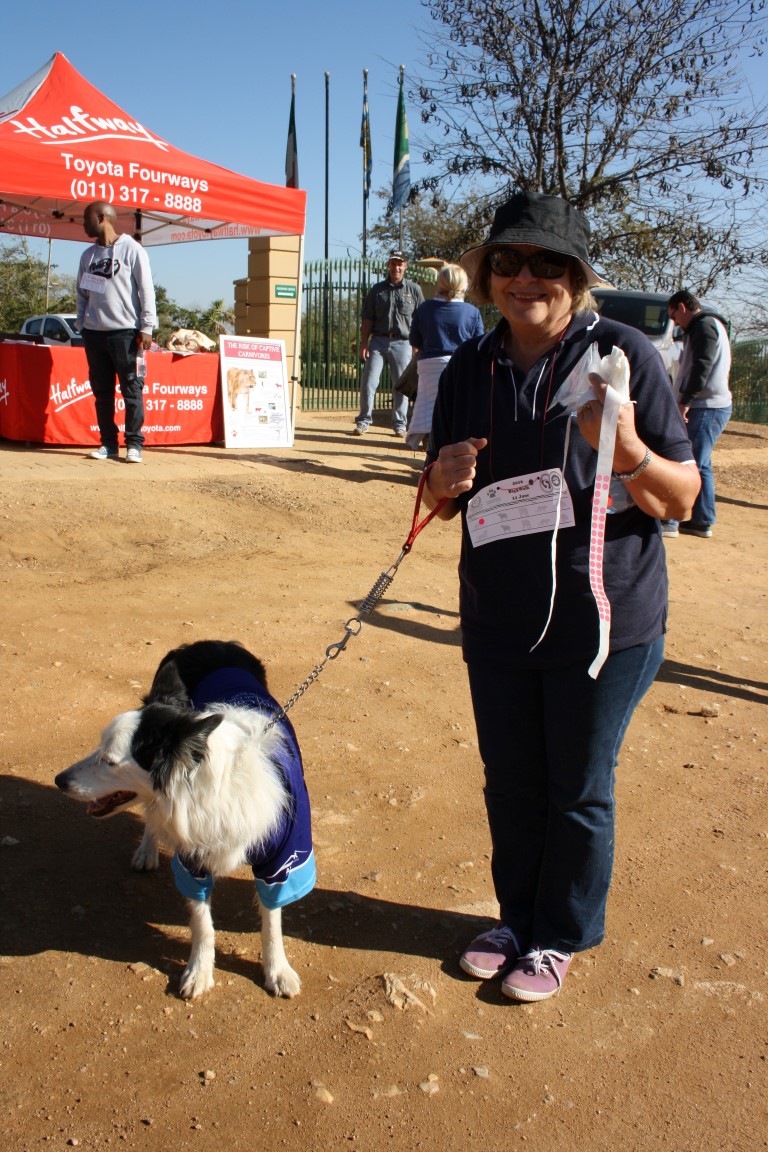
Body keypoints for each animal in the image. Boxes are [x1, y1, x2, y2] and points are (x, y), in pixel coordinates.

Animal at [55, 641, 315, 1001]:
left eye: (109, 761)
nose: (59, 781)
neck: (207, 783)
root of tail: (210, 643)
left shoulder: (282, 857)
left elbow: (272, 919)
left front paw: (278, 970)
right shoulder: (192, 855)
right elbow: (202, 923)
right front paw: (199, 971)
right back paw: (146, 851)